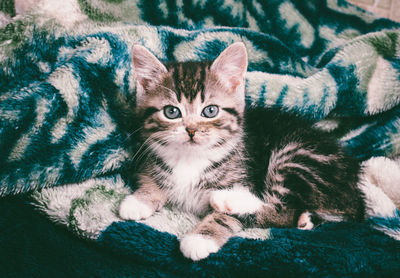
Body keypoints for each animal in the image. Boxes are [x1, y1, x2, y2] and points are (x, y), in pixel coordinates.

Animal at [119, 43, 366, 260]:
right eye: (171, 112)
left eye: (210, 111)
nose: (191, 130)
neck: (191, 159)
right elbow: (151, 179)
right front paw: (140, 200)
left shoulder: (245, 174)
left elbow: (225, 218)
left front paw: (201, 238)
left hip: (296, 156)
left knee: (283, 211)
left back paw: (228, 199)